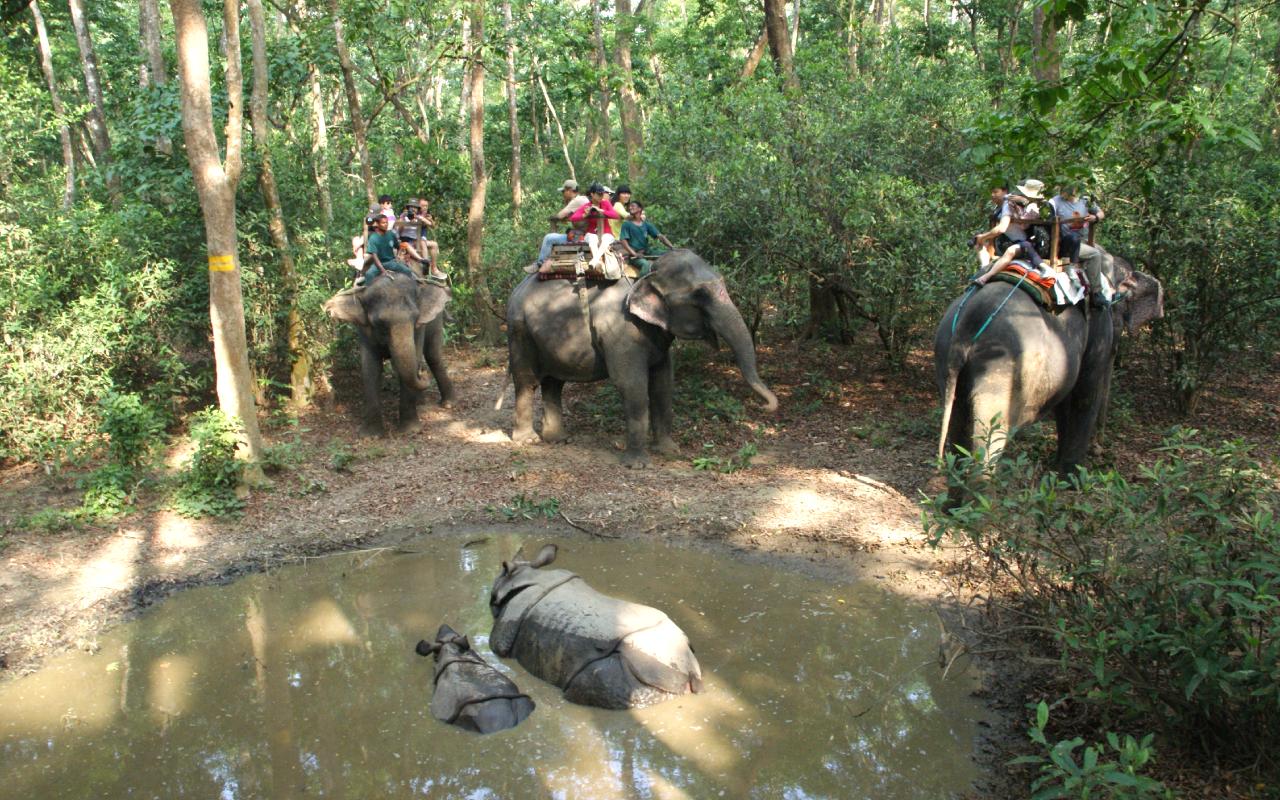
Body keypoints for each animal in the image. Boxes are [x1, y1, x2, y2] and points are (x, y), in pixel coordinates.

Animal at [324, 274, 456, 435]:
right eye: (379, 323)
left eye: (415, 318)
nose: (422, 373)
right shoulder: (364, 329)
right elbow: (371, 368)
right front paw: (371, 435)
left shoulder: (419, 327)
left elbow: (415, 357)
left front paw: (410, 431)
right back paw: (420, 402)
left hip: (435, 319)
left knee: (433, 355)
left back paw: (448, 404)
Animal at [489, 544, 703, 710]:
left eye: (492, 595)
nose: (490, 601)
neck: (527, 576)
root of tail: (690, 674)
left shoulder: (506, 628)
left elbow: (498, 645)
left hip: (637, 668)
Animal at [503, 249, 778, 468]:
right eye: (700, 295)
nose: (765, 406)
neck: (648, 273)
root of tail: (517, 287)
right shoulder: (620, 328)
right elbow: (632, 384)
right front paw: (638, 465)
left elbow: (663, 383)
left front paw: (669, 451)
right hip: (519, 331)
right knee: (527, 381)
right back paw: (528, 440)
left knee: (554, 382)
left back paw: (558, 439)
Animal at [934, 247, 1163, 482]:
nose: (1099, 448)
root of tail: (966, 326)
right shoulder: (1098, 326)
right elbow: (1085, 395)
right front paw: (1072, 479)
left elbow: (1066, 402)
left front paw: (1059, 469)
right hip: (1001, 367)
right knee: (991, 435)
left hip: (946, 354)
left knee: (958, 421)